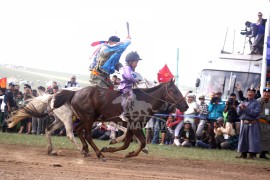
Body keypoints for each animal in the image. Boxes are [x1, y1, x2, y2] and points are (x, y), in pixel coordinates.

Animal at [52, 79, 188, 160]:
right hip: (89, 118)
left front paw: (111, 148)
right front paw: (130, 153)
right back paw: (99, 154)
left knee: (79, 130)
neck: (145, 101)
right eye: (174, 91)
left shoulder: (132, 127)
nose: (185, 106)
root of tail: (75, 93)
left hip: (88, 118)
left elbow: (126, 144)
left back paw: (85, 150)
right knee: (87, 135)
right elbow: (142, 142)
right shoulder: (135, 126)